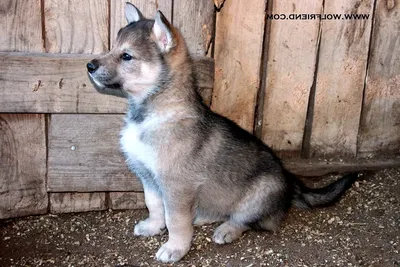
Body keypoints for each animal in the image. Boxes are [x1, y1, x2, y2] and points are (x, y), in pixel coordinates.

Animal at [86, 3, 356, 264]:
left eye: (127, 56)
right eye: (113, 48)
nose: (89, 65)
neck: (152, 112)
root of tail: (292, 182)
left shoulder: (176, 186)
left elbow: (176, 220)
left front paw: (175, 248)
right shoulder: (148, 177)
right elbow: (154, 205)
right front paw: (153, 227)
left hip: (260, 194)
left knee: (246, 220)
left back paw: (226, 230)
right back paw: (202, 217)